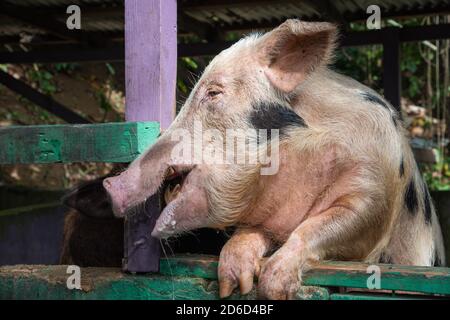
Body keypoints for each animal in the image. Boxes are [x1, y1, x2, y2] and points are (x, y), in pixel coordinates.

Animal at [103, 20, 446, 300]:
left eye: (213, 93)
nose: (109, 184)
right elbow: (251, 233)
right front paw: (233, 285)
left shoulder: (374, 190)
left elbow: (326, 224)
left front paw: (273, 287)